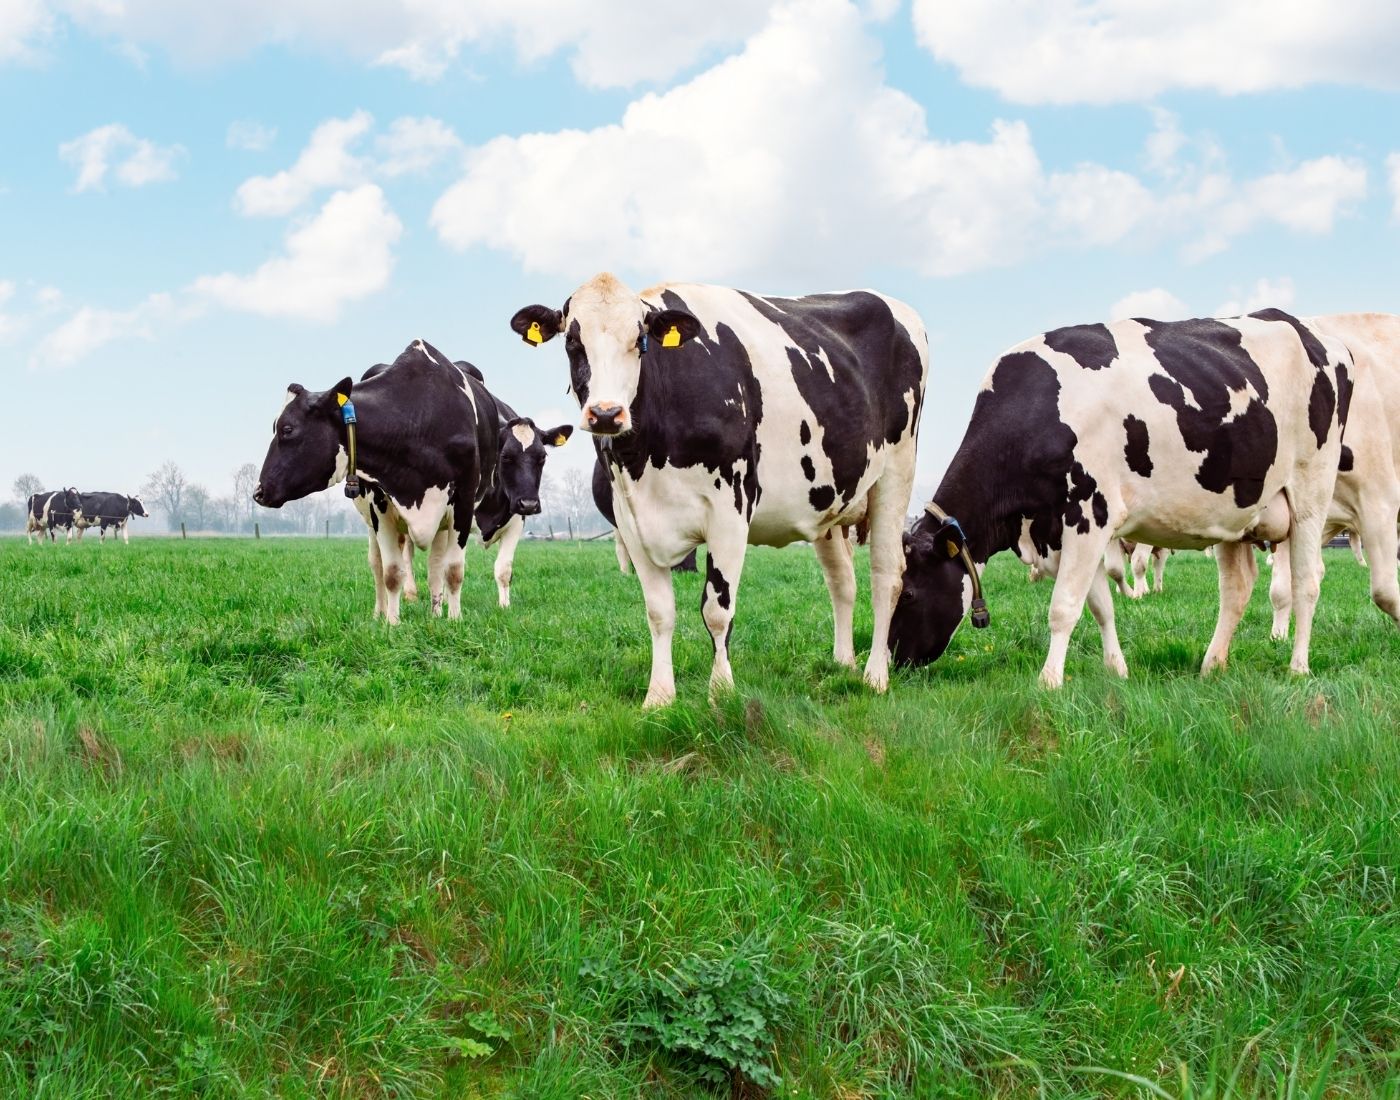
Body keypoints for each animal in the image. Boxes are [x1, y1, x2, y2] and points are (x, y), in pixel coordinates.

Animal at [253, 339, 572, 623]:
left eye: (287, 429)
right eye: (506, 457)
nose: (258, 491)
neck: (419, 418)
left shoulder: (466, 503)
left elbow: (456, 570)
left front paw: (454, 619)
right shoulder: (380, 504)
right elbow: (391, 572)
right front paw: (392, 624)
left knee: (435, 567)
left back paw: (436, 611)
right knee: (378, 564)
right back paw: (381, 612)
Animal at [511, 272, 928, 707]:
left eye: (640, 340)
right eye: (573, 343)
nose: (607, 414)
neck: (646, 460)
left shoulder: (730, 509)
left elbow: (717, 610)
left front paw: (721, 692)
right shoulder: (631, 521)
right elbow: (659, 611)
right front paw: (659, 697)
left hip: (896, 474)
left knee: (887, 576)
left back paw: (875, 675)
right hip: (828, 502)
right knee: (842, 580)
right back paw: (843, 663)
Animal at [890, 309, 1353, 687]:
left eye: (907, 593)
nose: (895, 658)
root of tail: (1314, 333)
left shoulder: (1088, 514)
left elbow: (1063, 606)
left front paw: (1048, 681)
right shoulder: (1064, 531)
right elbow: (1099, 605)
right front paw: (1117, 670)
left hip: (1310, 493)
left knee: (1307, 582)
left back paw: (1298, 667)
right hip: (1238, 512)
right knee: (1237, 589)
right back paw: (1212, 665)